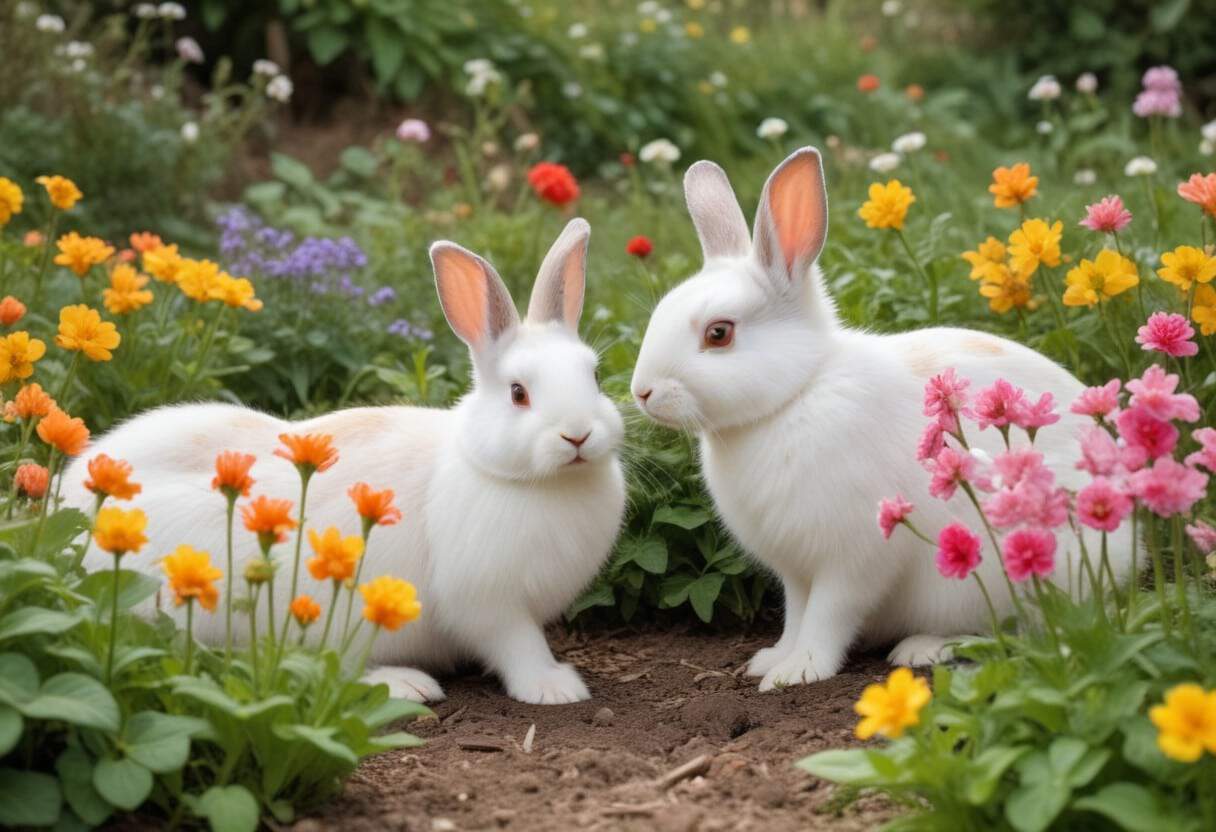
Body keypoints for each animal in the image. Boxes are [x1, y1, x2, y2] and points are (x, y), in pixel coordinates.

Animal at [64, 217, 627, 705]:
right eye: (517, 394)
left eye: (595, 377)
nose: (578, 435)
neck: (527, 479)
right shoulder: (489, 603)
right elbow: (518, 645)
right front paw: (555, 688)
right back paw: (407, 684)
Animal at [632, 147, 1133, 690]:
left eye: (719, 334)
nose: (642, 391)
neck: (795, 395)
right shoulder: (796, 570)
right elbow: (796, 613)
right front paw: (773, 659)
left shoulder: (853, 560)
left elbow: (827, 616)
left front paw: (799, 672)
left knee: (1025, 632)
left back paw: (923, 649)